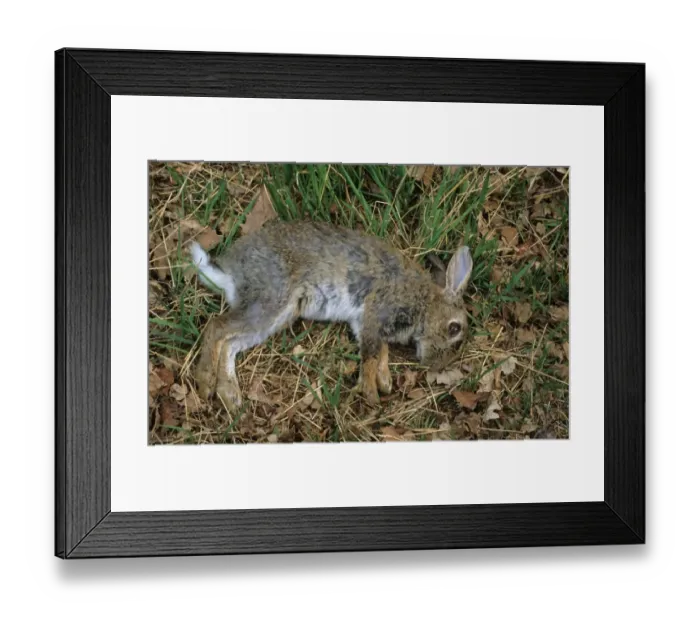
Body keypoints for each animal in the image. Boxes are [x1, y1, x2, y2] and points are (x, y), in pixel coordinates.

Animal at [189, 219, 473, 410]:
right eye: (454, 328)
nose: (435, 365)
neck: (426, 302)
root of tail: (230, 274)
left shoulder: (364, 322)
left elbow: (380, 352)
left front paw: (385, 382)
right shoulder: (376, 311)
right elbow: (371, 356)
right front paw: (371, 393)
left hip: (276, 318)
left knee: (230, 344)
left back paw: (230, 395)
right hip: (270, 301)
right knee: (216, 327)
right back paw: (205, 384)